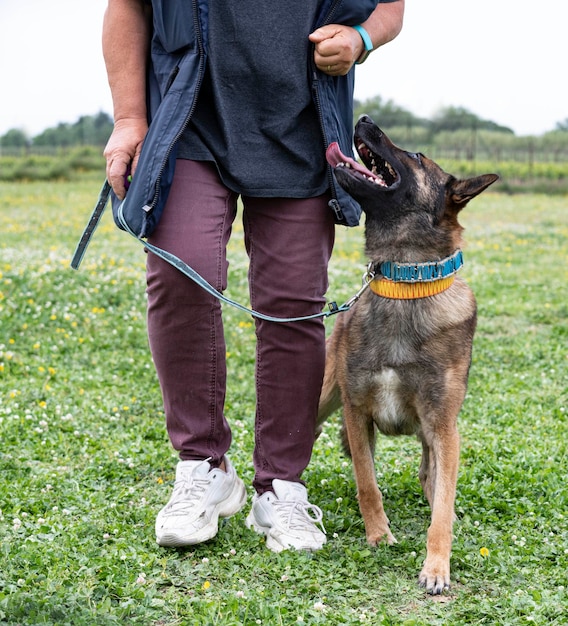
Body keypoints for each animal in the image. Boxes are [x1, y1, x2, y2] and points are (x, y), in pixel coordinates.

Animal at [318, 116, 500, 588]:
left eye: (417, 156)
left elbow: (442, 510)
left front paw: (436, 565)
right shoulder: (356, 412)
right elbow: (367, 482)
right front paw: (379, 535)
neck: (404, 282)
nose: (364, 119)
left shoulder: (443, 428)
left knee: (431, 480)